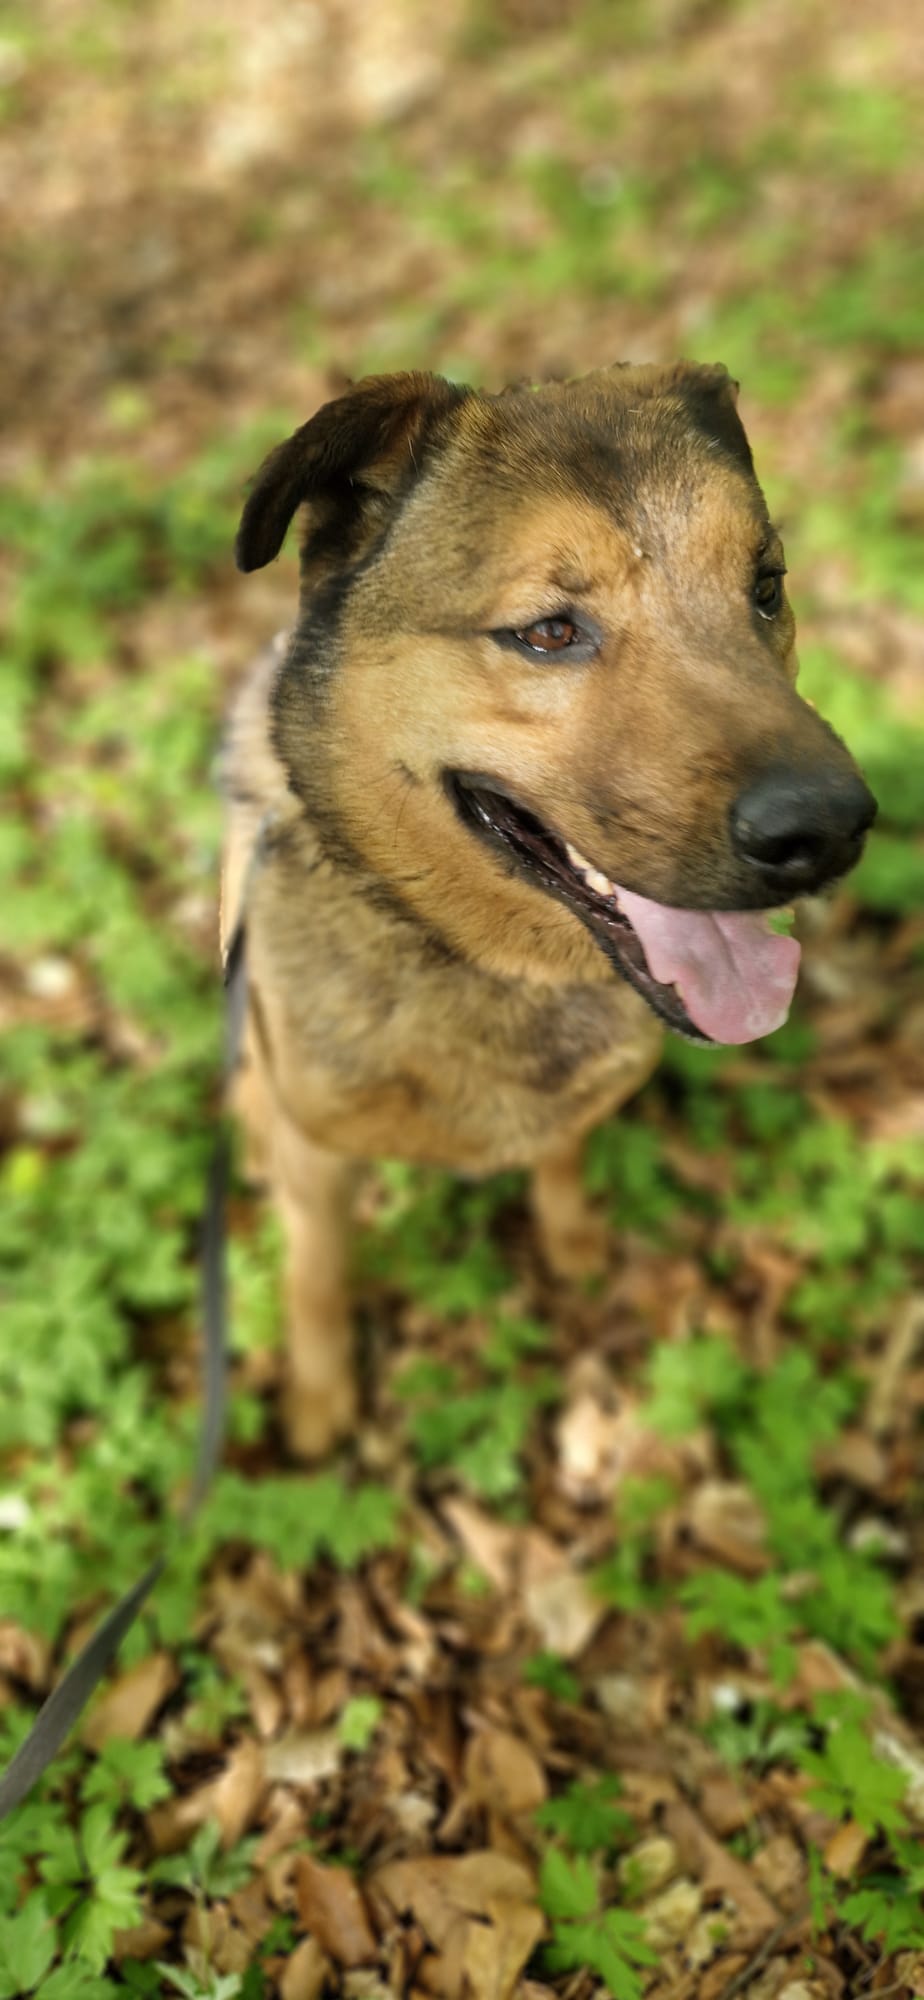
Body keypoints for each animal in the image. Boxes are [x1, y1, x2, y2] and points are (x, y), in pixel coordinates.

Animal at [222, 362, 875, 1457]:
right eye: (549, 632)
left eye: (766, 589)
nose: (829, 830)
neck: (490, 966)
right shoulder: (316, 1154)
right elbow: (315, 1277)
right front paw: (320, 1404)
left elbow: (563, 1162)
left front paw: (573, 1247)